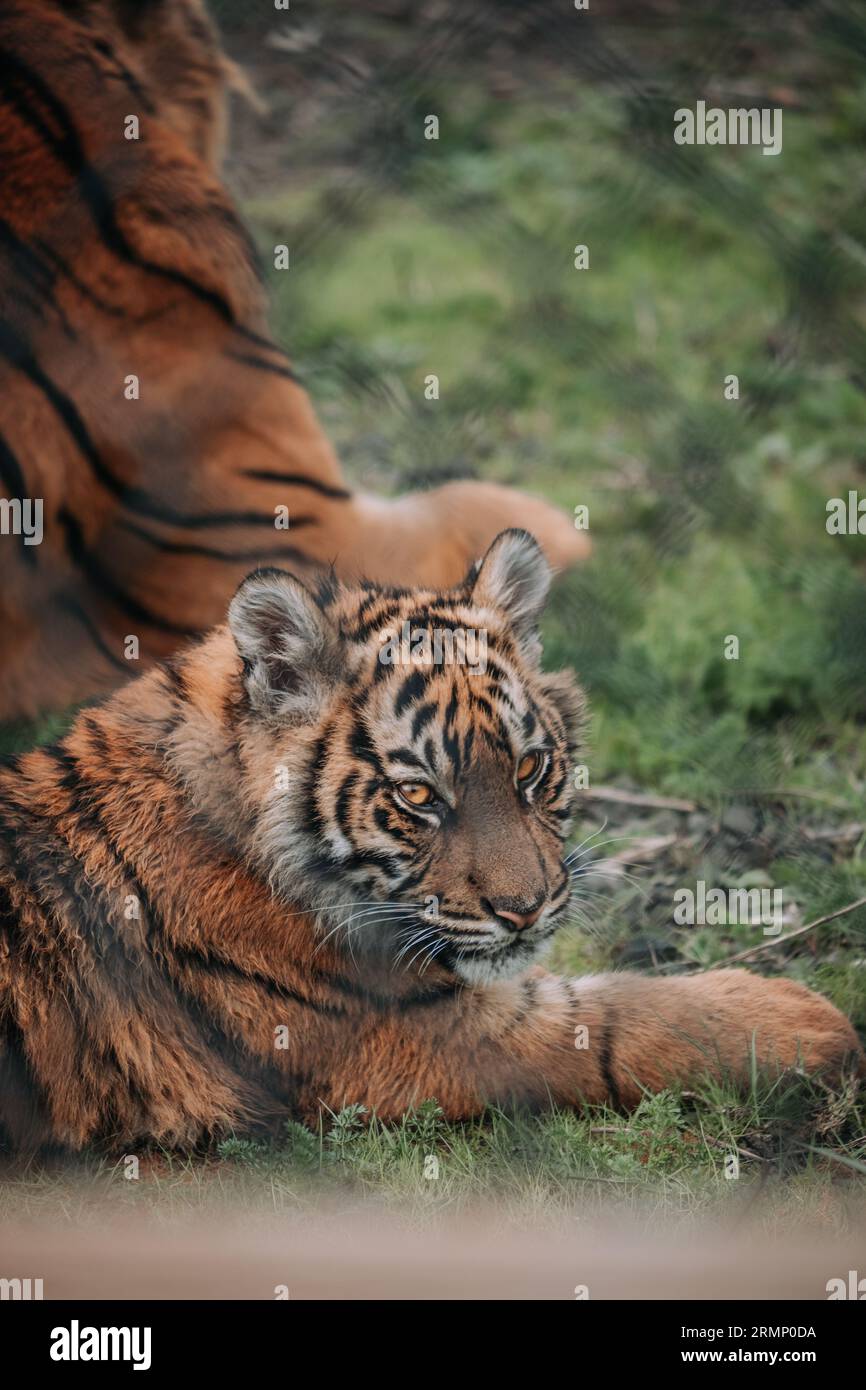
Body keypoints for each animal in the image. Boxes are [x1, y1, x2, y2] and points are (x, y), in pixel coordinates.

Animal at [0, 530, 861, 1150]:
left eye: (530, 768)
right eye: (418, 796)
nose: (525, 910)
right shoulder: (409, 1032)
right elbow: (620, 1020)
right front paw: (805, 1017)